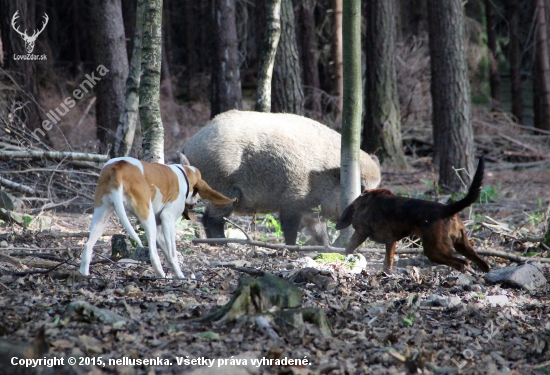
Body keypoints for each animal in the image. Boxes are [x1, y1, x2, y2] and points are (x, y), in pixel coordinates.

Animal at [81, 156, 236, 280]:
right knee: (153, 255)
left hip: (101, 217)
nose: (196, 202)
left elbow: (168, 255)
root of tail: (117, 167)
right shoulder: (167, 219)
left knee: (88, 246)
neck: (184, 175)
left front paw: (178, 275)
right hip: (146, 216)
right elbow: (172, 255)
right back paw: (161, 276)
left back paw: (83, 274)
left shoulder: (161, 228)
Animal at [336, 156, 492, 274]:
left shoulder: (361, 232)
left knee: (461, 262)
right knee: (482, 263)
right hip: (462, 244)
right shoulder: (391, 241)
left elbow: (348, 248)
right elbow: (388, 261)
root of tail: (447, 209)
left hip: (434, 249)